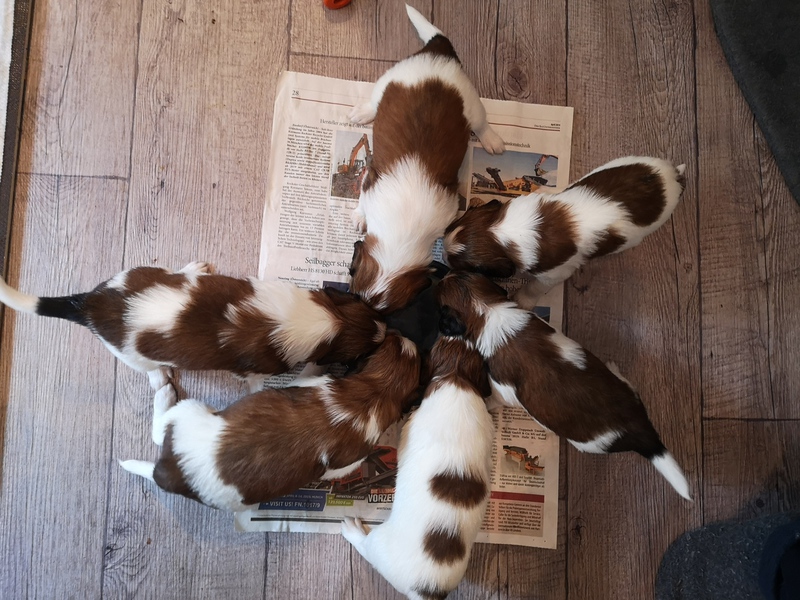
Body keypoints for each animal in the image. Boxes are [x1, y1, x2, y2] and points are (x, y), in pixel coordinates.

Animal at [0, 261, 386, 391]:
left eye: (364, 305)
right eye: (361, 354)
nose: (387, 331)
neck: (322, 318)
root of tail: (91, 303)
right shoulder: (257, 369)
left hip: (140, 270)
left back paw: (193, 268)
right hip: (130, 354)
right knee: (146, 368)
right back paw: (159, 377)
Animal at [119, 330, 421, 511]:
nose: (397, 332)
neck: (377, 391)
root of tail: (173, 471)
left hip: (190, 412)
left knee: (160, 430)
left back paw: (164, 394)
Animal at [342, 335, 494, 600]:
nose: (454, 331)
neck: (455, 375)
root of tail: (425, 589)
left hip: (379, 544)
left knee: (366, 546)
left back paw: (352, 528)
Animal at [347, 4, 505, 314]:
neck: (403, 227)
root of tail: (438, 52)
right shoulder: (371, 181)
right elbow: (361, 200)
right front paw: (360, 217)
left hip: (472, 104)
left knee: (481, 125)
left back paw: (491, 139)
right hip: (389, 79)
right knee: (374, 100)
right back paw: (363, 113)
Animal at [436, 271, 691, 500]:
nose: (441, 274)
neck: (489, 310)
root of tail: (640, 429)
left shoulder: (503, 390)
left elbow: (495, 398)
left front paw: (486, 402)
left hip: (587, 443)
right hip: (627, 390)